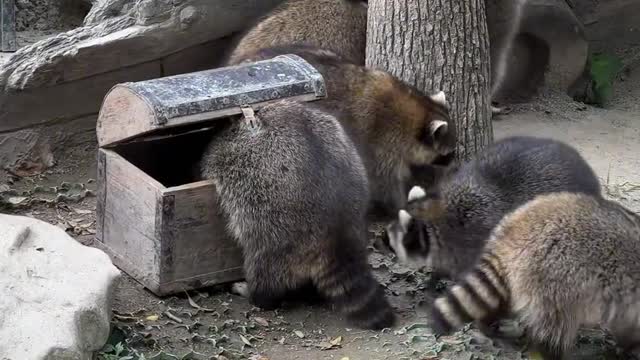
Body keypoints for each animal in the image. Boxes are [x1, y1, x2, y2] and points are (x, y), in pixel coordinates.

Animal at [225, 45, 456, 222]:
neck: (415, 113)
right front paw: (401, 205)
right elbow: (385, 184)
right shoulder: (382, 143)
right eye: (448, 153)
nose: (454, 163)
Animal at [424, 193, 640, 360]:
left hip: (521, 276)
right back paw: (551, 352)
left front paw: (625, 345)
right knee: (556, 326)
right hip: (555, 277)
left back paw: (486, 322)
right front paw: (628, 347)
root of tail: (513, 233)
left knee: (500, 299)